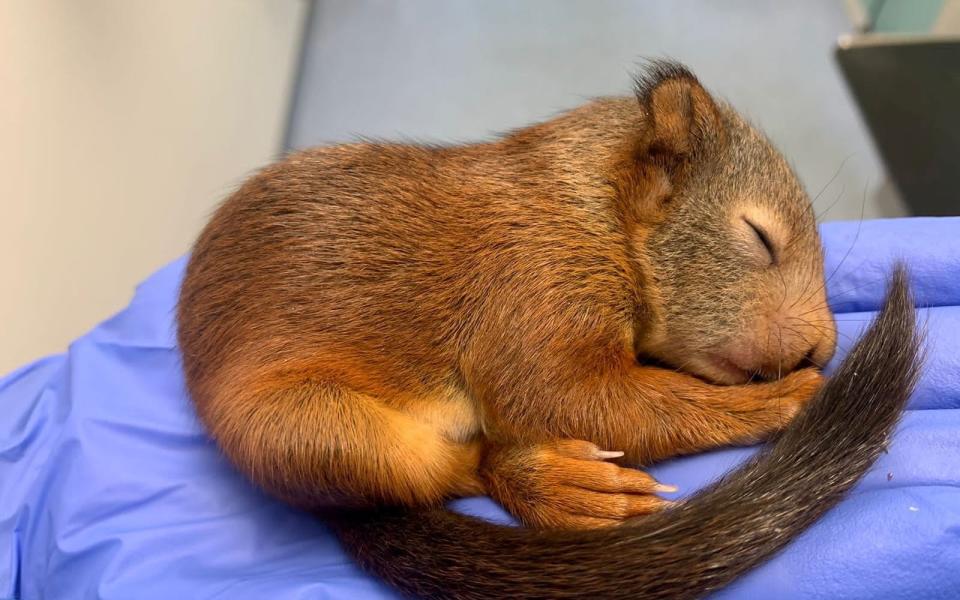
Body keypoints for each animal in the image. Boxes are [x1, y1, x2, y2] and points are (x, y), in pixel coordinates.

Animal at [176, 63, 920, 596]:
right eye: (760, 237)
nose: (820, 347)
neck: (593, 211)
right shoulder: (534, 285)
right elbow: (563, 396)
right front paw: (782, 399)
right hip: (314, 433)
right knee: (457, 468)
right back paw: (553, 481)